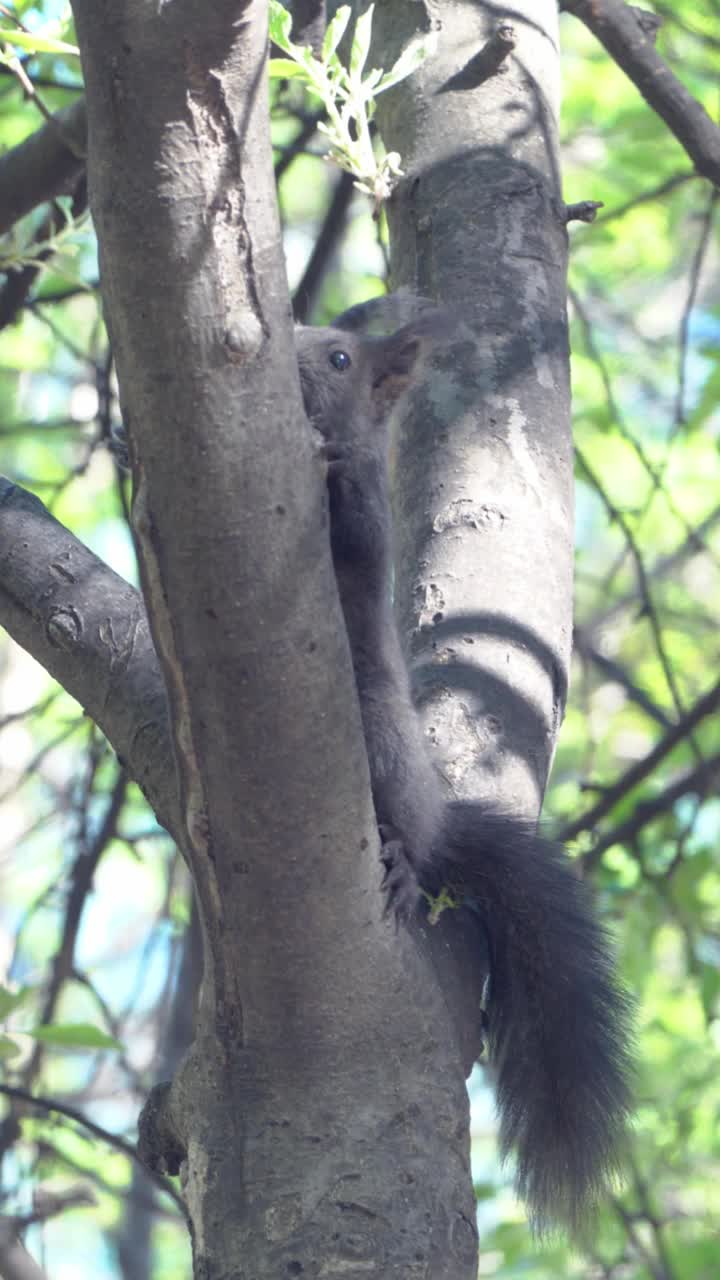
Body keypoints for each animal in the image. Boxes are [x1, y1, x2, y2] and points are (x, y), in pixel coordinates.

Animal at [294, 294, 630, 1233]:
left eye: (340, 359)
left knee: (408, 833)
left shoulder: (368, 535)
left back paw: (404, 860)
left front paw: (332, 472)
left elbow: (358, 537)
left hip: (379, 735)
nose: (285, 366)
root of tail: (439, 813)